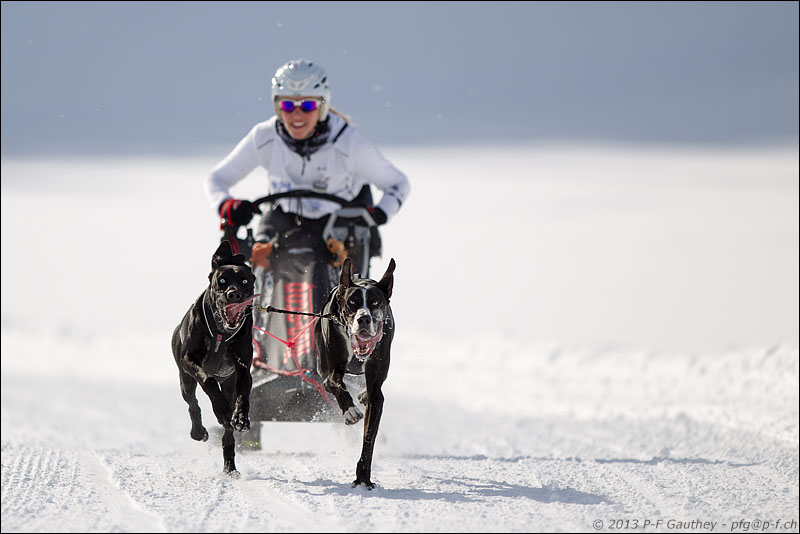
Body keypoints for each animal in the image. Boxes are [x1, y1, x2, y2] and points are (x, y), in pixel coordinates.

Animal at [171, 240, 256, 475]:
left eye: (245, 281)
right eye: (222, 281)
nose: (234, 294)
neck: (221, 334)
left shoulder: (242, 369)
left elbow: (243, 395)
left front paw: (240, 418)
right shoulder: (190, 361)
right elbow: (208, 381)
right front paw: (222, 411)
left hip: (228, 383)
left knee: (228, 434)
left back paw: (230, 464)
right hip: (185, 380)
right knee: (193, 404)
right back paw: (199, 431)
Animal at [315, 256, 395, 489]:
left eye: (375, 303)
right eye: (352, 302)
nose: (364, 319)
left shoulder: (377, 388)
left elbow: (369, 437)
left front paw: (363, 478)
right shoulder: (329, 372)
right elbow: (335, 385)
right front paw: (349, 410)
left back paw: (362, 395)